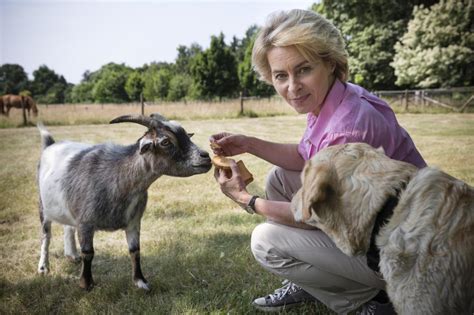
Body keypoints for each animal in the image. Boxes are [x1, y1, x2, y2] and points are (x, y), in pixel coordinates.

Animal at [38, 113, 212, 292]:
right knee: (46, 235)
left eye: (186, 136)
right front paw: (86, 284)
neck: (118, 177)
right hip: (43, 207)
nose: (206, 157)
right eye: (165, 142)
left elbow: (135, 251)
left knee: (68, 227)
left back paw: (72, 254)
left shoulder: (133, 222)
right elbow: (88, 252)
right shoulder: (85, 222)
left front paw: (141, 282)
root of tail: (51, 144)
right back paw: (43, 267)